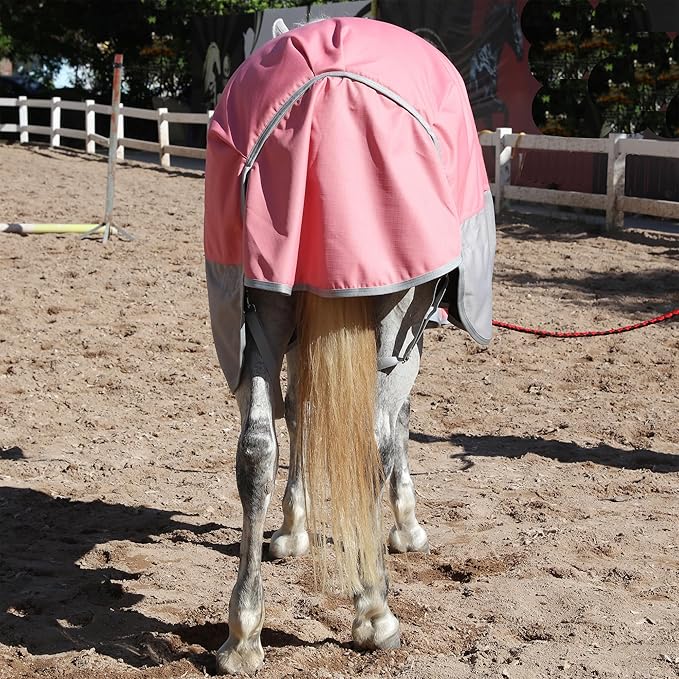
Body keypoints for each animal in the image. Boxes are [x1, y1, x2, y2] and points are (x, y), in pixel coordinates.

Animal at [204, 16, 496, 675]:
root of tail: (327, 95)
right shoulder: (407, 336)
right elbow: (397, 429)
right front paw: (405, 528)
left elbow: (298, 417)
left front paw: (291, 531)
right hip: (396, 317)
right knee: (375, 440)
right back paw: (375, 611)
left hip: (256, 311)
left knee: (256, 449)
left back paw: (243, 633)